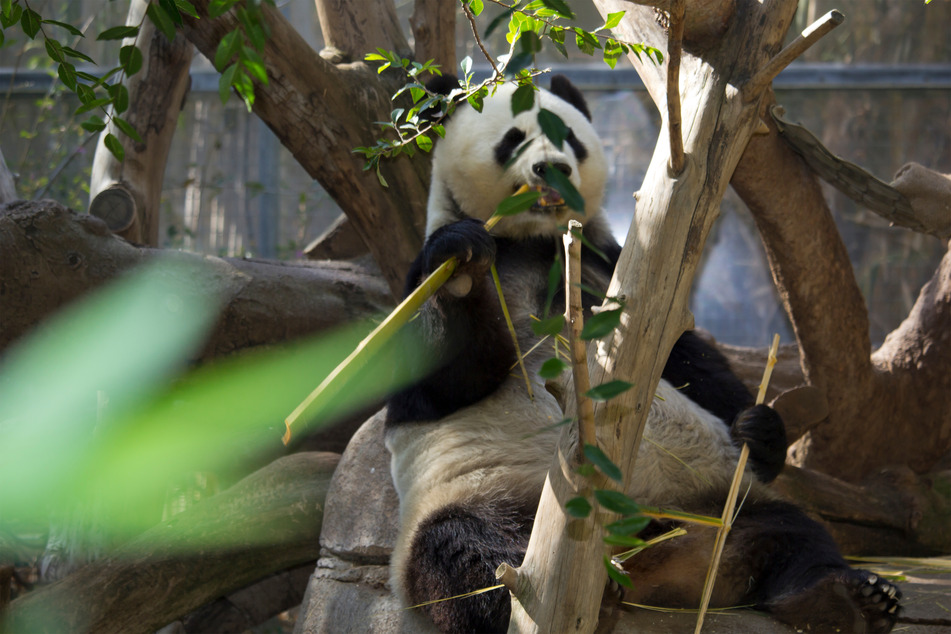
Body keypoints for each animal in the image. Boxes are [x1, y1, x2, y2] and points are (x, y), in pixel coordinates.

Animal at [384, 75, 901, 634]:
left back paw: (846, 600)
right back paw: (579, 599)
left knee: (794, 534)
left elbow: (686, 357)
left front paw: (761, 431)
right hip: (485, 498)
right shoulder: (436, 280)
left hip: (716, 501)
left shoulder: (609, 269)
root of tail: (650, 564)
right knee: (467, 552)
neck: (536, 242)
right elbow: (440, 377)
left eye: (570, 137)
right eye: (513, 139)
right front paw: (462, 264)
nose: (553, 168)